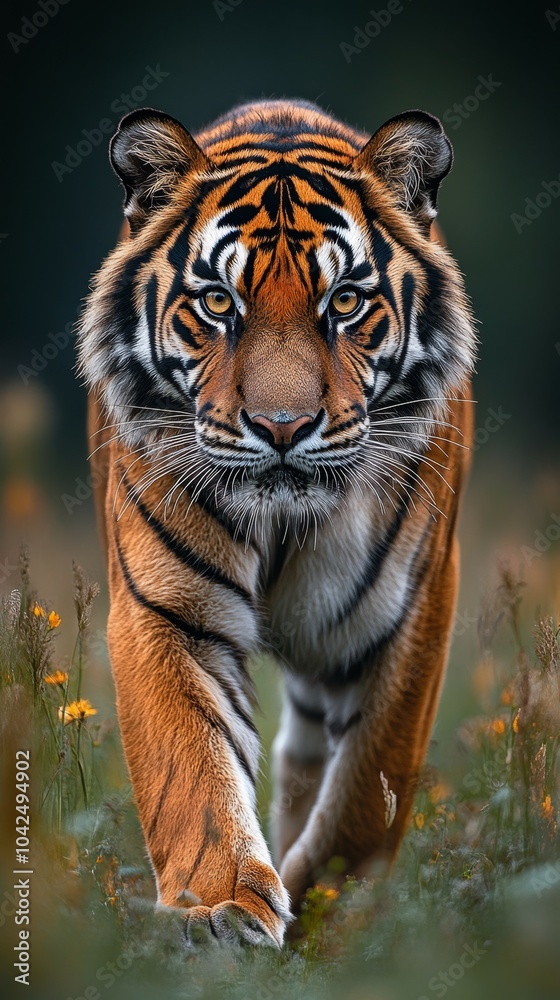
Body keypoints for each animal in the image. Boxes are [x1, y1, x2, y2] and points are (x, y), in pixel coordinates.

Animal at [78, 98, 475, 948]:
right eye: (218, 303)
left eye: (346, 302)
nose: (282, 426)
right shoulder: (165, 609)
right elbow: (192, 766)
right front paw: (223, 909)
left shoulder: (412, 610)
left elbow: (367, 792)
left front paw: (330, 915)